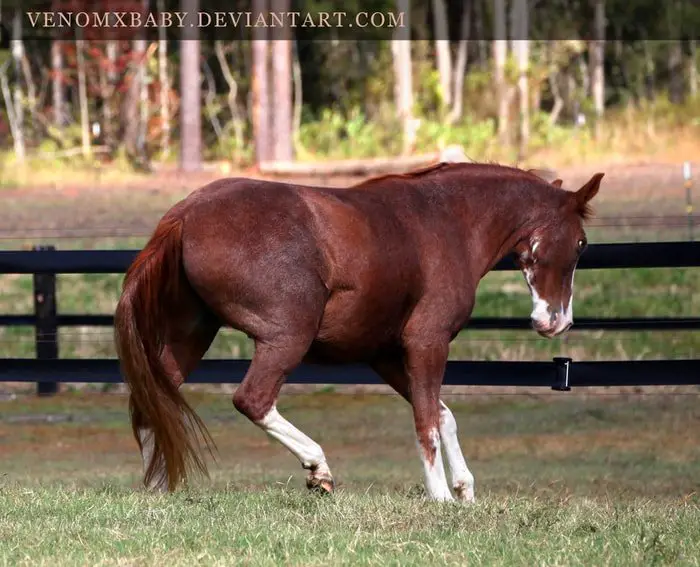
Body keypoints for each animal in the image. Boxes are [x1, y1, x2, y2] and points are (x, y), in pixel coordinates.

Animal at [113, 163, 600, 502]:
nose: (557, 322)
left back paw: (158, 486)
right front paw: (442, 495)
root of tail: (186, 213)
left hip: (189, 338)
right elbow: (426, 420)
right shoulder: (427, 341)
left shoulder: (385, 354)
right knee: (252, 400)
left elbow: (441, 414)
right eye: (581, 244)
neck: (447, 222)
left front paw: (464, 489)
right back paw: (318, 468)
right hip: (286, 338)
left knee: (153, 401)